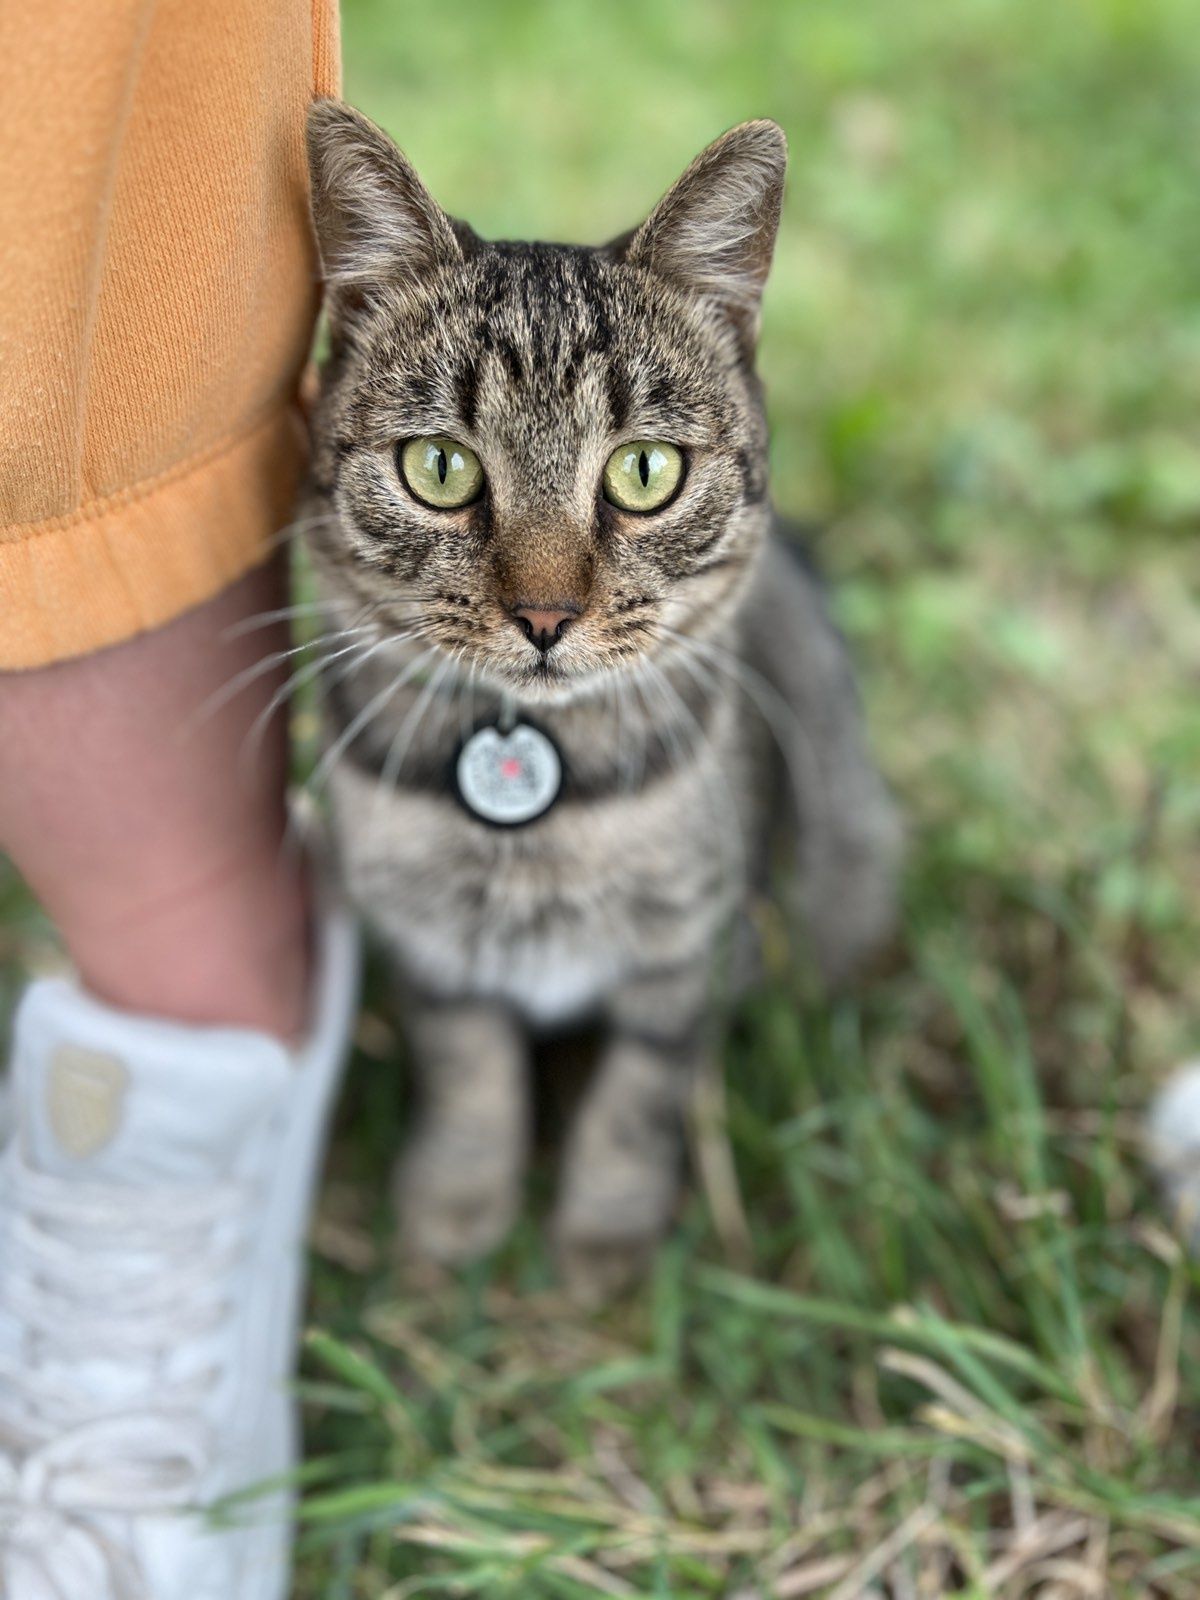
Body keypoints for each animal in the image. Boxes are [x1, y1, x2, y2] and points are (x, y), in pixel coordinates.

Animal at [300, 100, 902, 1299]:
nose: (544, 615)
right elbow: (471, 1075)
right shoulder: (433, 951)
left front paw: (604, 1238)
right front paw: (456, 1212)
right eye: (439, 467)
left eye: (645, 472)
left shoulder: (693, 947)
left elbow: (638, 1099)